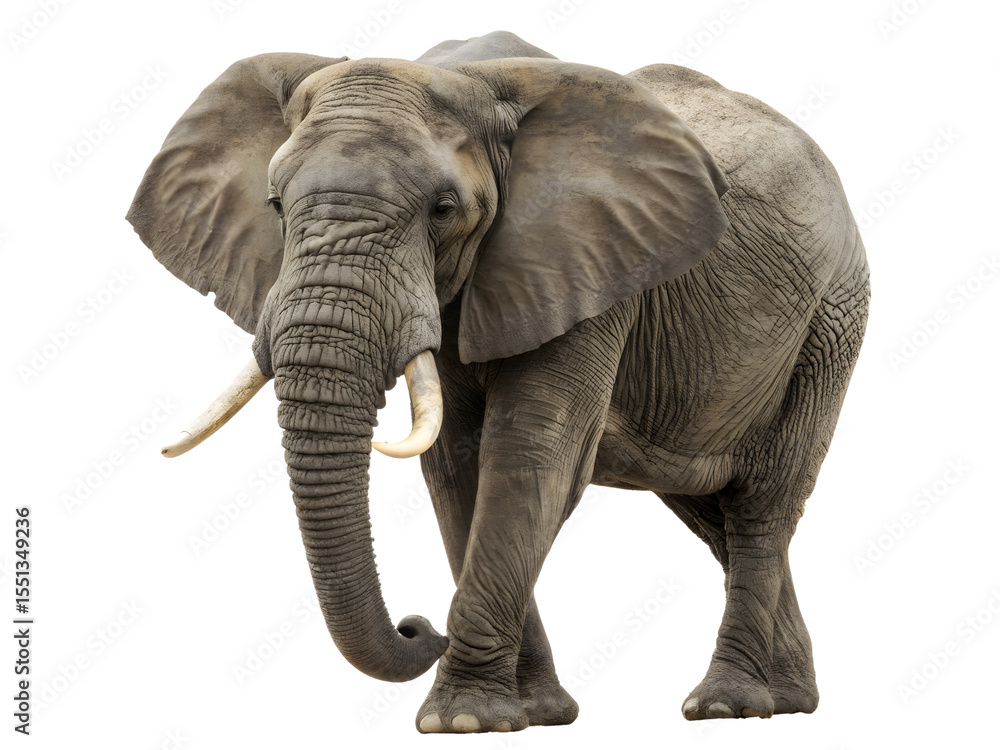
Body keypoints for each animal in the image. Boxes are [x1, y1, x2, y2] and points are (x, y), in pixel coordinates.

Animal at [127, 30, 869, 733]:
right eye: (276, 205)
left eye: (443, 209)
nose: (417, 625)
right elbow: (457, 467)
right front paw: (530, 712)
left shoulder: (588, 264)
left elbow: (530, 457)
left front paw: (460, 718)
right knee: (712, 512)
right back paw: (791, 699)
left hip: (832, 319)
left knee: (763, 502)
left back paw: (727, 704)